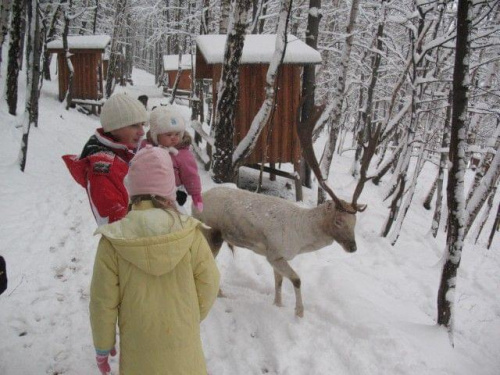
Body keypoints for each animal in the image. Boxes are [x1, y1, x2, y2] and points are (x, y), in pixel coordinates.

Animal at [193, 100, 366, 318]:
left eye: (355, 222)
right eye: (338, 220)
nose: (353, 247)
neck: (301, 240)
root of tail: (193, 204)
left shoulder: (277, 256)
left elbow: (279, 281)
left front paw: (278, 304)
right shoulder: (274, 253)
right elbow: (297, 279)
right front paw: (299, 312)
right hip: (211, 233)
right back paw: (218, 294)